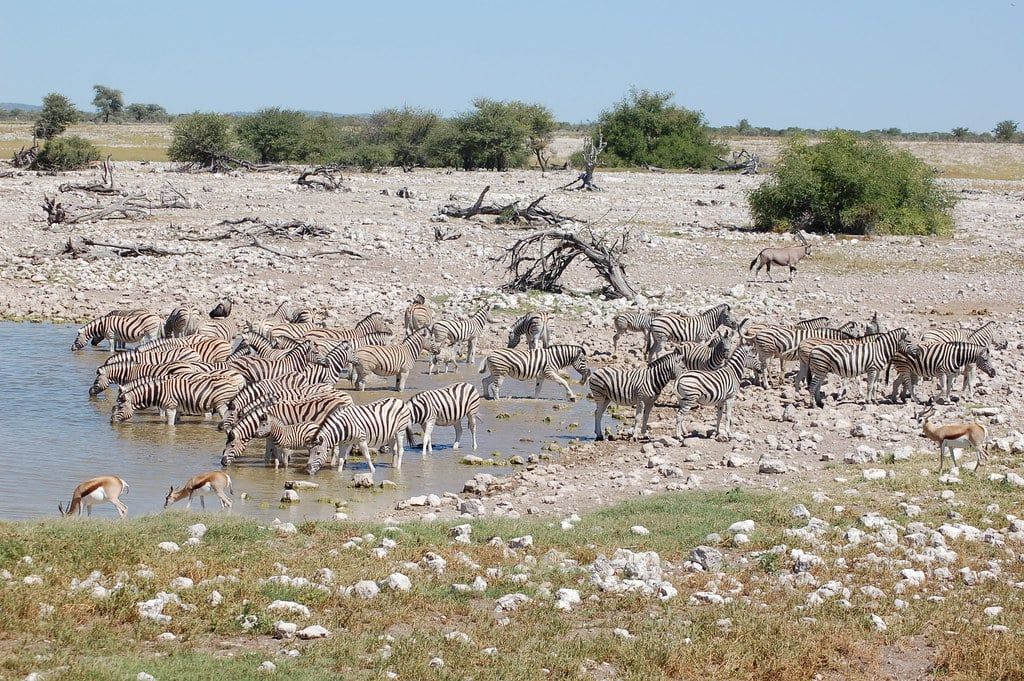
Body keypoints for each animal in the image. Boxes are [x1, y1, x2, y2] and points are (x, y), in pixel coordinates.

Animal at [112, 371, 246, 425]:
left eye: (120, 407)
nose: (111, 423)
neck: (158, 391)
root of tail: (238, 379)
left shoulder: (170, 407)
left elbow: (170, 425)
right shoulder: (177, 408)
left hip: (221, 403)